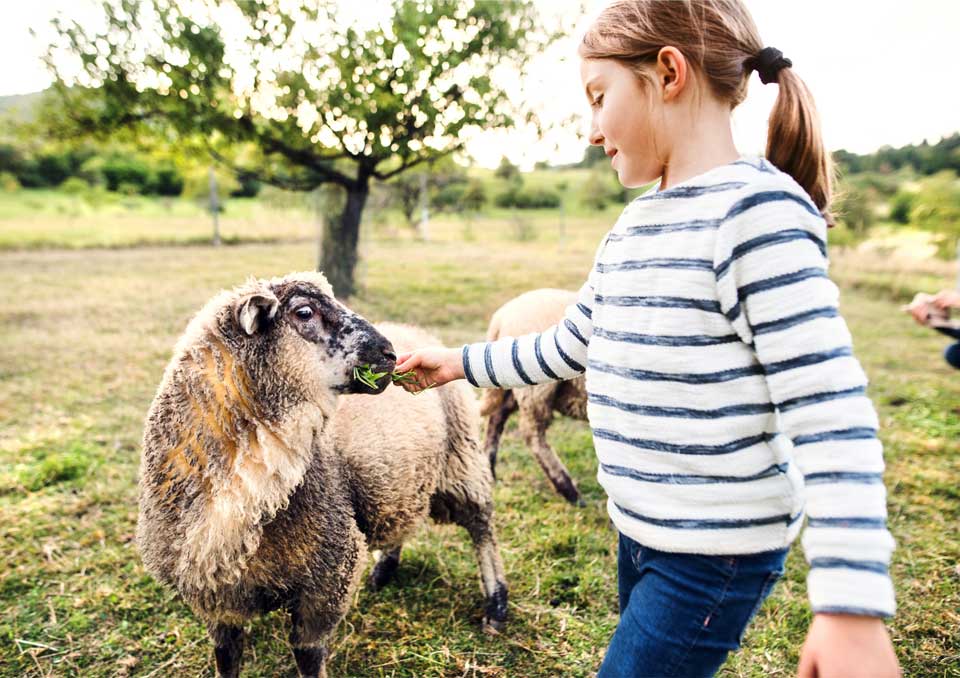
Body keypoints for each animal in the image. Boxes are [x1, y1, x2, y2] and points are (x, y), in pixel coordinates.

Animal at [140, 272, 510, 678]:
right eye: (304, 312)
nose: (390, 355)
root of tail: (413, 329)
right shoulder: (214, 597)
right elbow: (226, 656)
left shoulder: (328, 575)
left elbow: (308, 654)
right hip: (400, 479)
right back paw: (384, 570)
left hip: (462, 460)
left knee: (481, 528)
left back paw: (496, 606)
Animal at [478, 290, 584, 508]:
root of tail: (501, 316)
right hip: (536, 390)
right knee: (532, 433)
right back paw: (569, 491)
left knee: (497, 417)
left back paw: (490, 470)